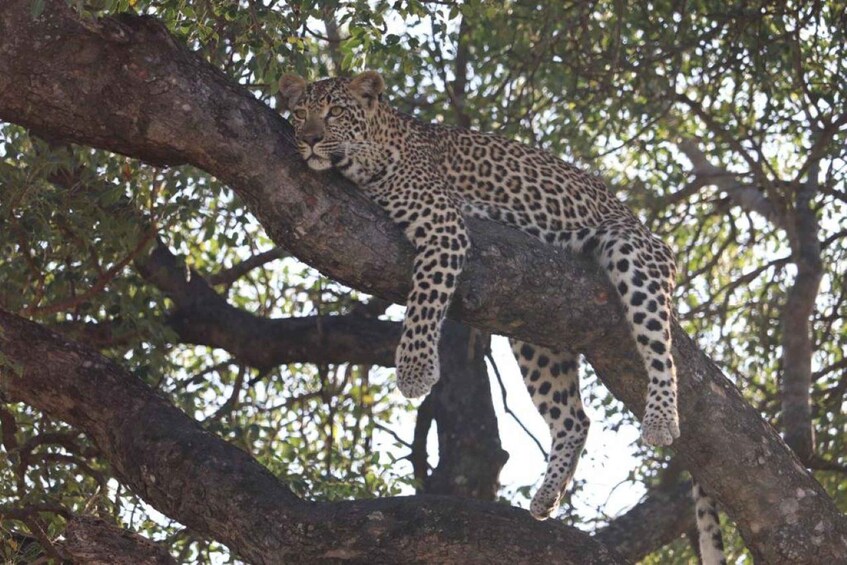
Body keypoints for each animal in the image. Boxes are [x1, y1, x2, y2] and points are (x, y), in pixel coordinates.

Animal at [278, 70, 682, 525]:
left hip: (634, 251)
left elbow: (425, 299)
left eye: (334, 112)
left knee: (660, 352)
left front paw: (415, 371)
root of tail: (634, 218)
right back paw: (547, 496)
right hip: (537, 328)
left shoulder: (444, 225)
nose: (310, 139)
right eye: (300, 113)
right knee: (574, 418)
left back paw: (661, 420)